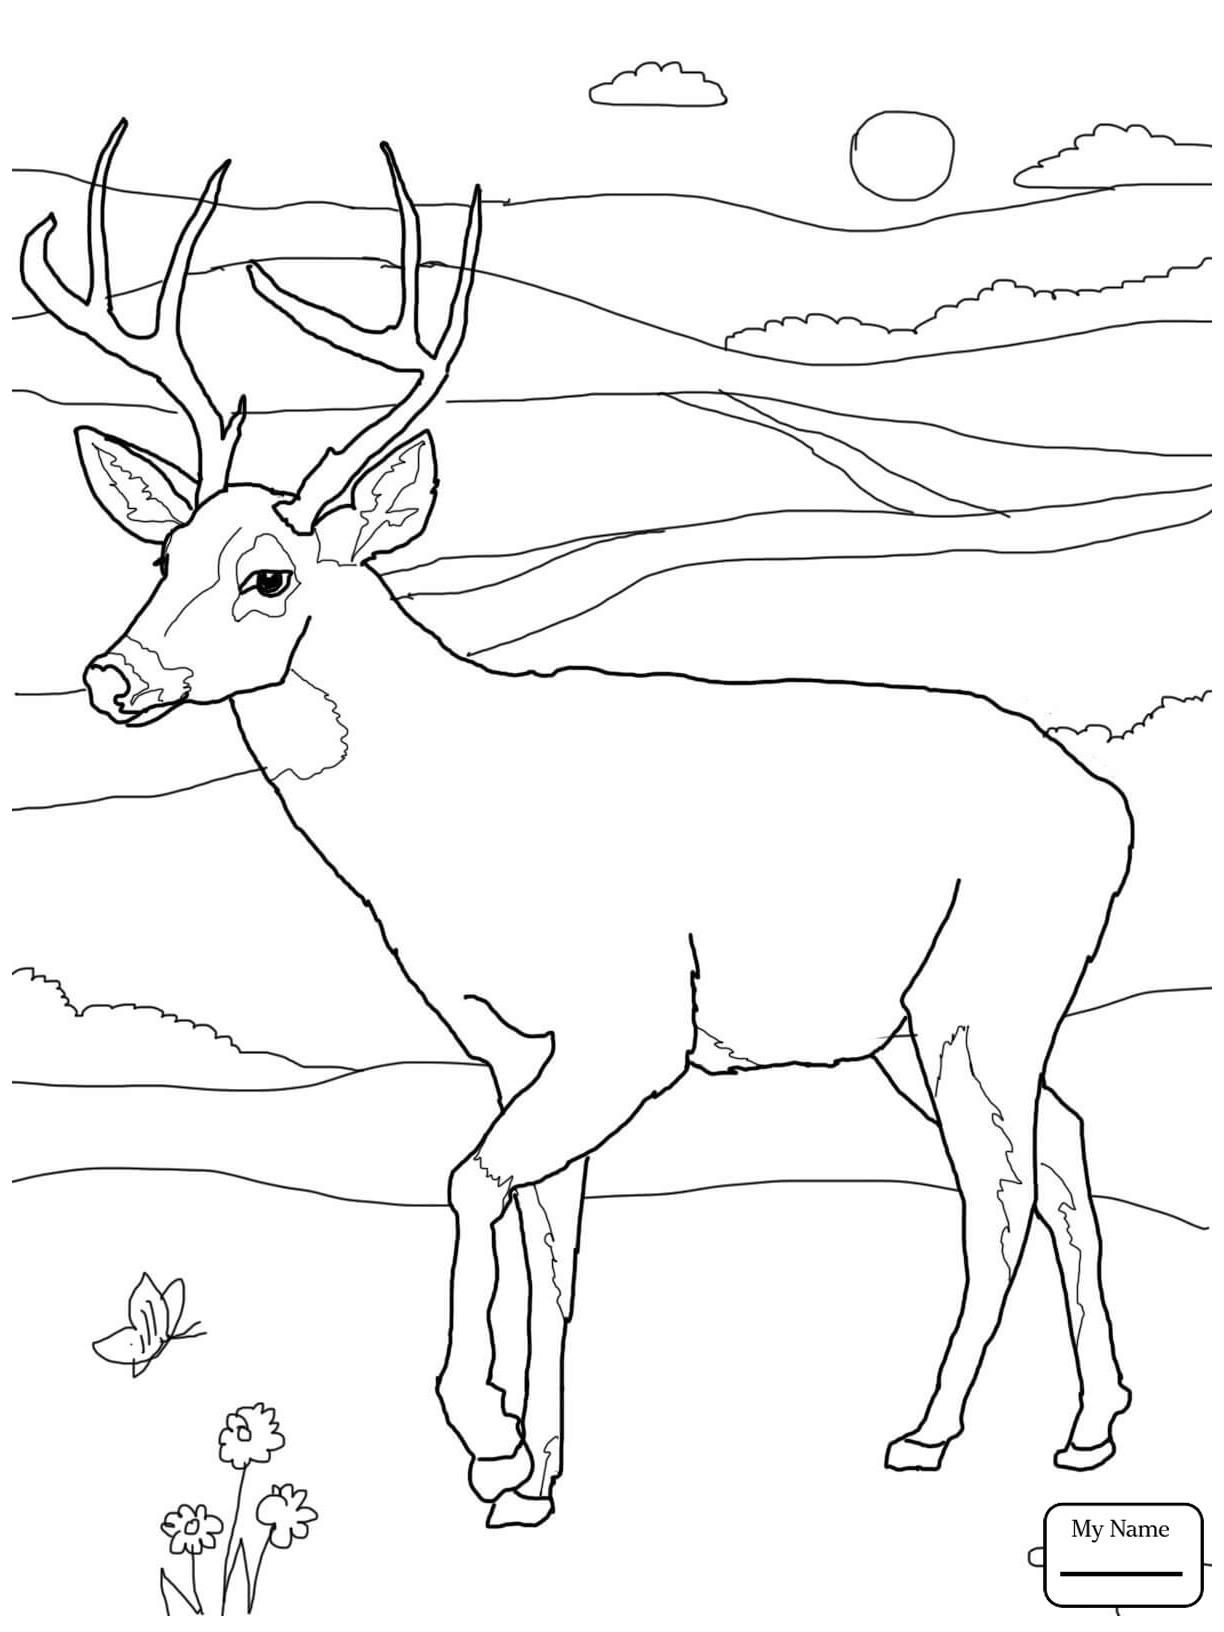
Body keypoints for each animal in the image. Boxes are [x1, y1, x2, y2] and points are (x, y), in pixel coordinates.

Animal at [24, 123, 1135, 1528]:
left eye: (268, 575)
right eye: (160, 555)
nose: (114, 677)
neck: (458, 812)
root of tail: (1111, 807)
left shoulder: (633, 1020)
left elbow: (471, 1180)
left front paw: (483, 1433)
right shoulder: (514, 1043)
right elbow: (552, 1241)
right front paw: (534, 1472)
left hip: (980, 988)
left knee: (998, 1182)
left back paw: (929, 1431)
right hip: (925, 1018)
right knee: (1066, 1148)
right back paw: (1092, 1427)